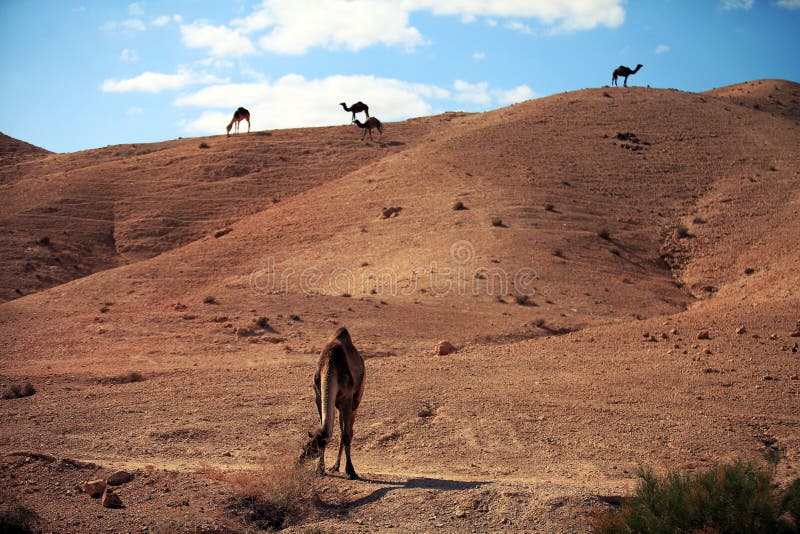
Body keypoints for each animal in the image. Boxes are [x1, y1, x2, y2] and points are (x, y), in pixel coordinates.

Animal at [300, 326, 366, 482]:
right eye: (305, 446)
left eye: (311, 450)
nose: (299, 460)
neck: (330, 366)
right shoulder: (318, 395)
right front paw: (320, 469)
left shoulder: (347, 397)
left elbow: (347, 435)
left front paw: (351, 471)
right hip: (339, 406)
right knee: (342, 428)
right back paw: (335, 466)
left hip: (356, 400)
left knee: (348, 431)